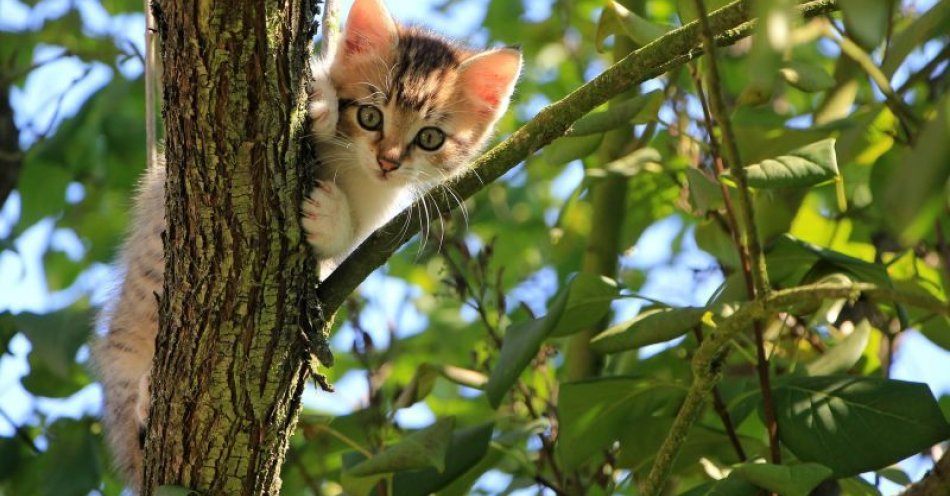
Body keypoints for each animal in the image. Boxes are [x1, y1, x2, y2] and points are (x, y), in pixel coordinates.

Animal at [95, 0, 520, 490]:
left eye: (429, 137)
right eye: (370, 115)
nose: (388, 161)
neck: (351, 166)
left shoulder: (375, 214)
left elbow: (346, 239)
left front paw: (329, 216)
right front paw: (320, 102)